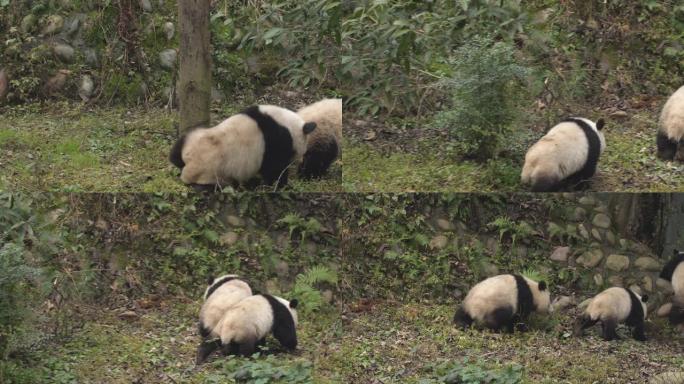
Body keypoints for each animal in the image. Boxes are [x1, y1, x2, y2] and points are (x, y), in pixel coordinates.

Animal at [171, 105, 320, 190]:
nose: (300, 161)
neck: (287, 124)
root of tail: (190, 164)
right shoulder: (276, 141)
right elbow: (274, 169)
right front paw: (282, 185)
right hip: (216, 174)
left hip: (194, 136)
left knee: (175, 153)